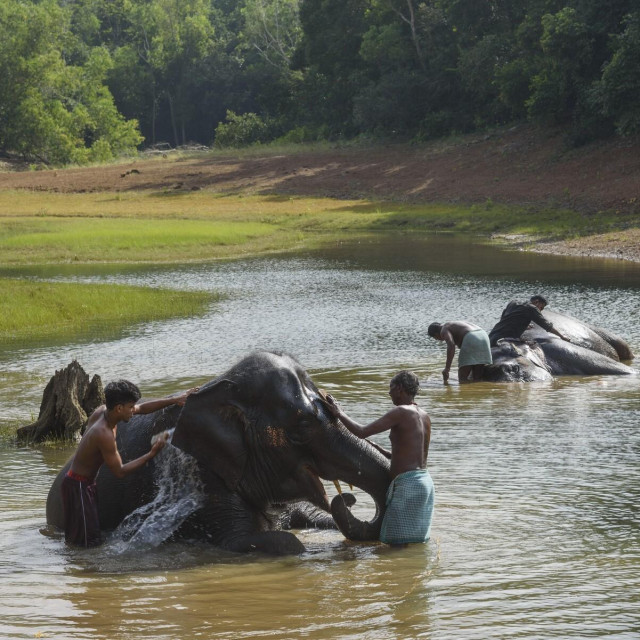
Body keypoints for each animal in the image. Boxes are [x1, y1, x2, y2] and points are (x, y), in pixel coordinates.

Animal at [46, 350, 390, 556]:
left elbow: (312, 517)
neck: (222, 387)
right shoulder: (207, 473)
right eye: (302, 427)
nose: (348, 499)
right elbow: (274, 542)